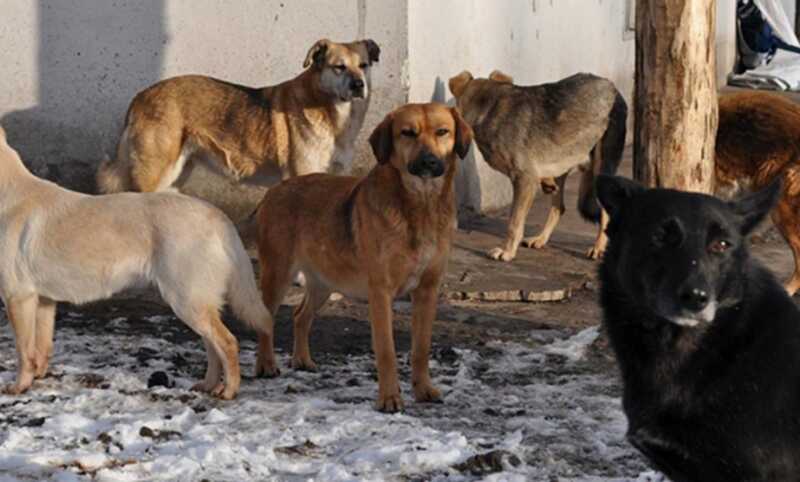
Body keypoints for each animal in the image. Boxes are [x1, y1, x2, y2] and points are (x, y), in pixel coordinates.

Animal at [0, 126, 278, 398]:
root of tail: (217, 215)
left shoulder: (18, 297)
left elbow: (23, 351)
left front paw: (19, 387)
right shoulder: (44, 300)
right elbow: (41, 348)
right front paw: (37, 378)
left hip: (187, 301)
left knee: (228, 342)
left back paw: (229, 390)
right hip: (196, 303)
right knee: (213, 347)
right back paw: (209, 386)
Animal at [96, 39, 378, 194]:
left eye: (363, 65)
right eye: (339, 67)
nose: (359, 85)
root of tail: (140, 97)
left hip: (176, 174)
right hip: (154, 175)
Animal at [253, 101, 472, 410]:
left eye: (443, 132)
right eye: (407, 133)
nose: (429, 161)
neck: (420, 206)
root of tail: (273, 191)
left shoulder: (427, 291)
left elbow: (421, 348)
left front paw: (423, 390)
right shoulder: (381, 292)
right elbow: (386, 350)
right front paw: (389, 398)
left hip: (324, 282)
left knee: (300, 316)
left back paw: (302, 360)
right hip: (278, 274)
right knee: (267, 320)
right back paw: (266, 365)